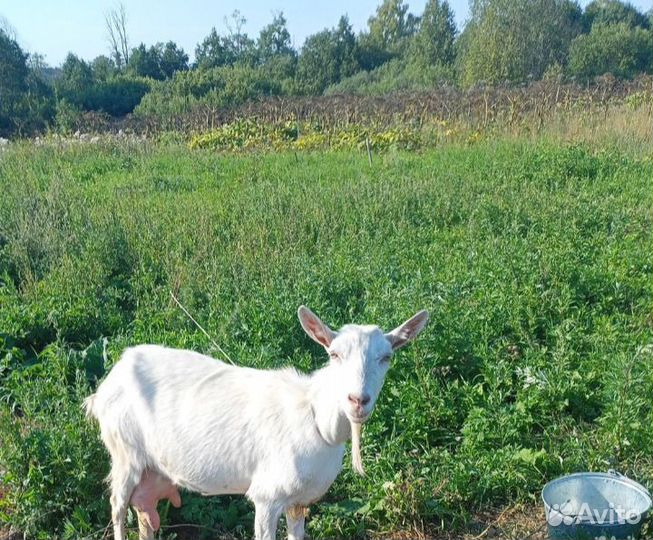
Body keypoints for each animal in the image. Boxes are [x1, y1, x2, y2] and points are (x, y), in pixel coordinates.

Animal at [84, 306, 428, 540]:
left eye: (386, 357)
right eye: (333, 354)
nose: (358, 400)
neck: (316, 419)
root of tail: (109, 381)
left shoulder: (299, 500)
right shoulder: (267, 495)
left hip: (150, 468)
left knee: (144, 512)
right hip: (123, 451)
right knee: (117, 506)